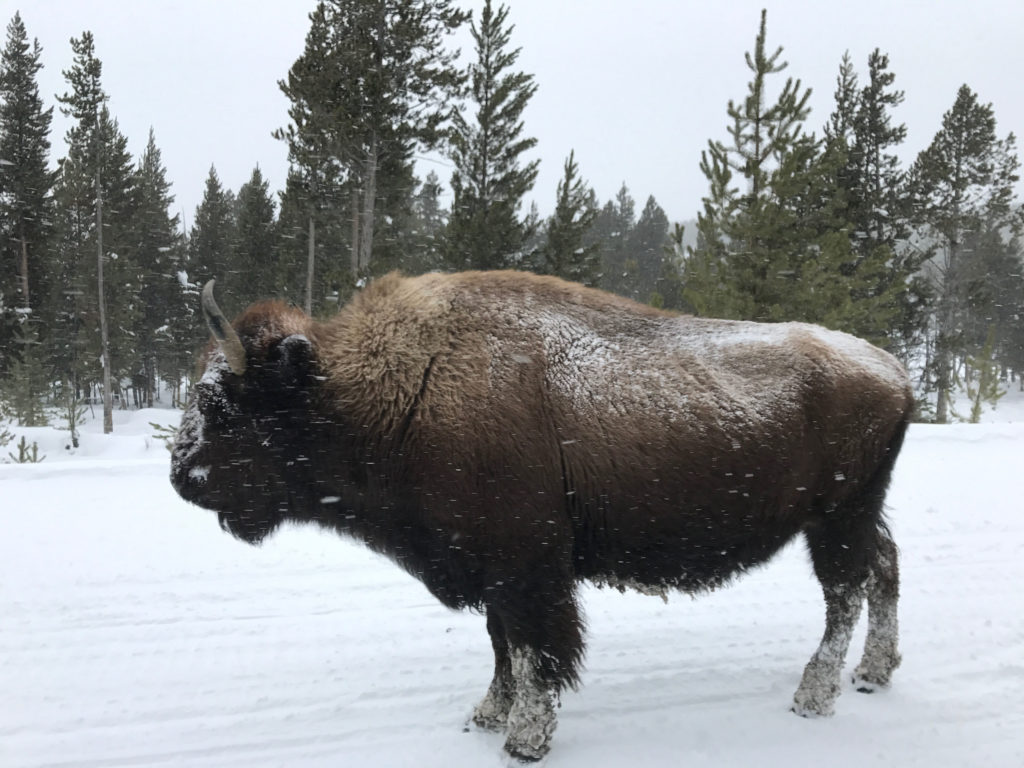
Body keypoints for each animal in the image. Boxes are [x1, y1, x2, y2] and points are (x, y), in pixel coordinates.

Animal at [169, 270, 913, 765]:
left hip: (836, 518)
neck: (400, 387)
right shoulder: (492, 569)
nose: (181, 475)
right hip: (855, 514)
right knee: (883, 569)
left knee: (844, 592)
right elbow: (501, 645)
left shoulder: (527, 569)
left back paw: (814, 696)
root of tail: (895, 372)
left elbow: (533, 650)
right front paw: (486, 715)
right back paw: (874, 675)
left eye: (226, 406)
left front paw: (525, 739)